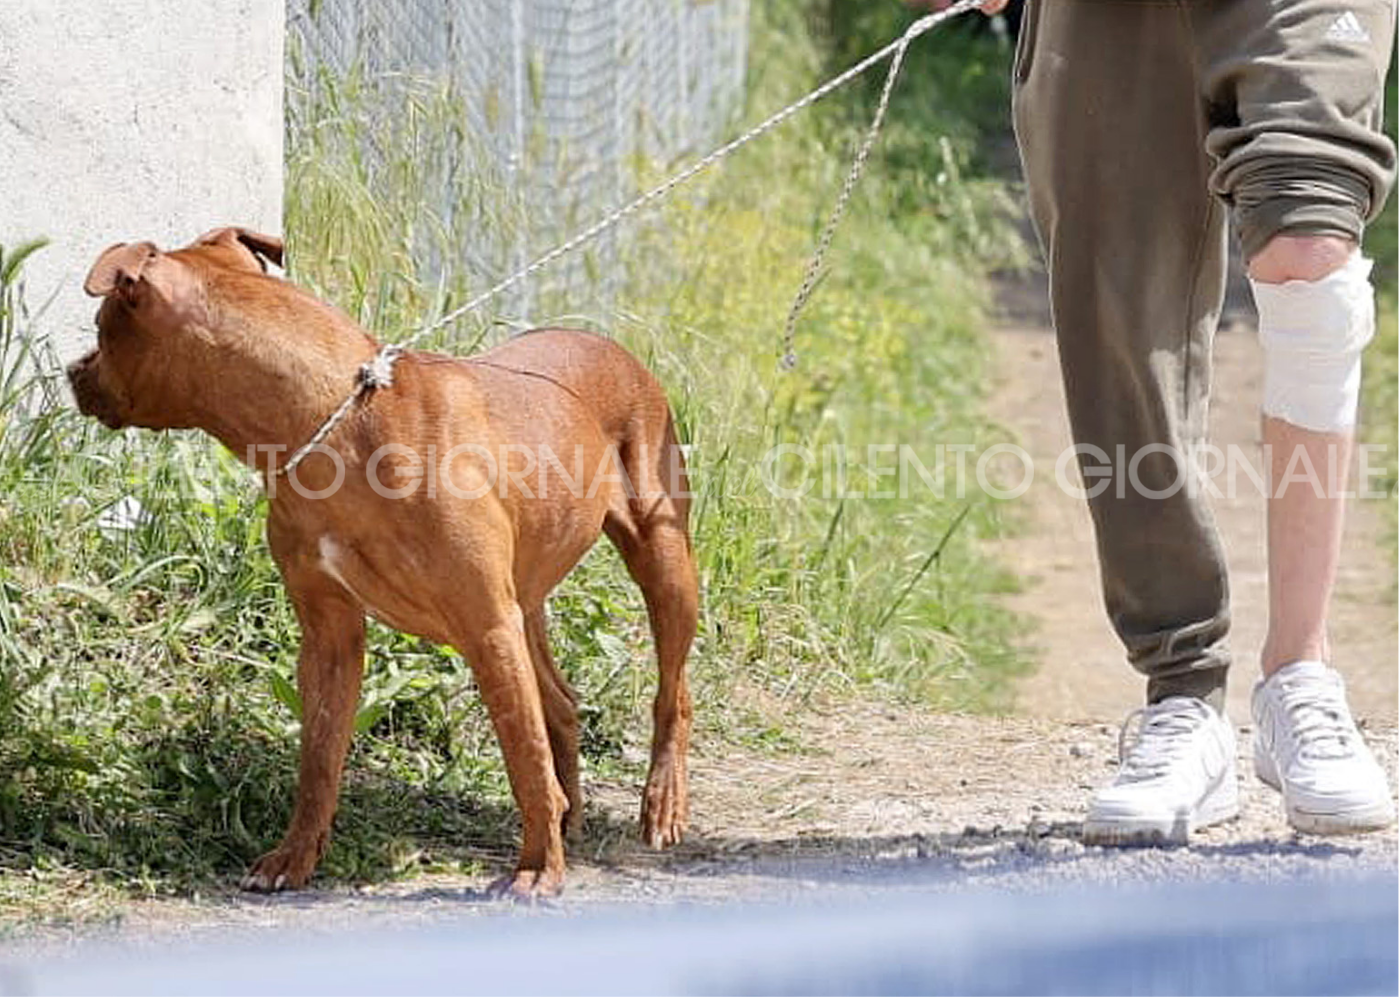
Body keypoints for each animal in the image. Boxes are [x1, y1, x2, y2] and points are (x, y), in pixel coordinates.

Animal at [68, 228, 697, 896]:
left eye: (103, 325)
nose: (72, 369)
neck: (334, 427)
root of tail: (610, 345)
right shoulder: (330, 633)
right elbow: (319, 758)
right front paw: (295, 857)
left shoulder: (485, 626)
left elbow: (523, 755)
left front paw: (536, 868)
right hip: (525, 601)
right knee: (560, 702)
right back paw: (571, 813)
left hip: (661, 559)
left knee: (672, 694)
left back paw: (660, 805)